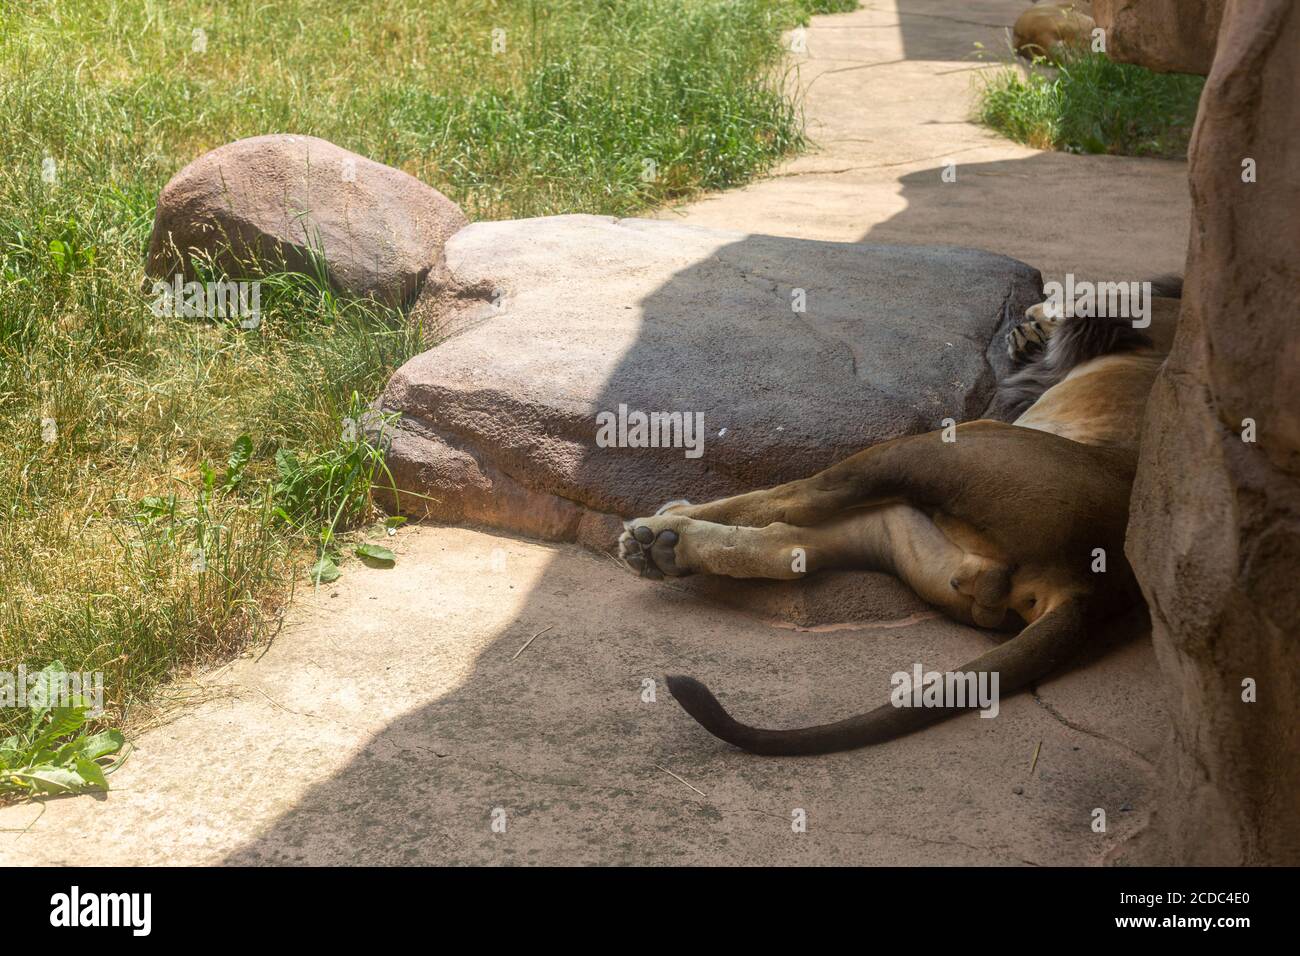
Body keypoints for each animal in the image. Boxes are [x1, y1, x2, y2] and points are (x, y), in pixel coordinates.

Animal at [618, 277, 1180, 754]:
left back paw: (657, 530)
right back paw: (663, 550)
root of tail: (1091, 590)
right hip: (900, 528)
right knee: (790, 548)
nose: (1027, 313)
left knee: (793, 500)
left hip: (935, 449)